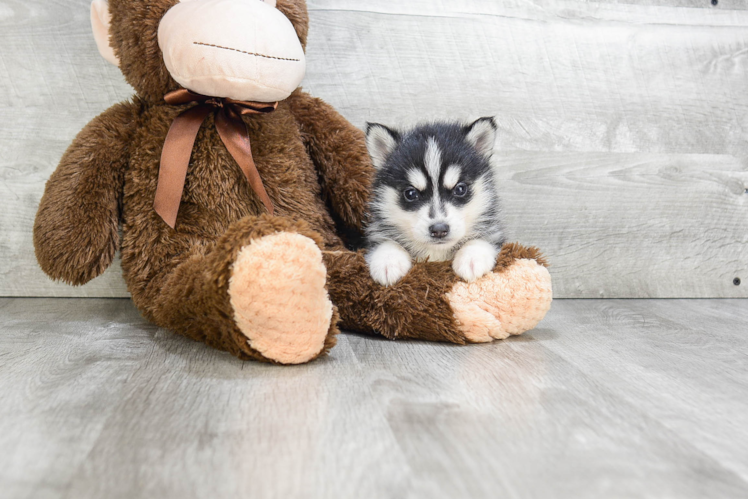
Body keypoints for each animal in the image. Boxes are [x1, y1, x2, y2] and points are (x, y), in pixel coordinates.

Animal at [364, 117, 506, 288]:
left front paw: (472, 257)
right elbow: (386, 242)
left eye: (460, 189)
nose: (439, 229)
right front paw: (388, 261)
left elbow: (482, 238)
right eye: (411, 193)